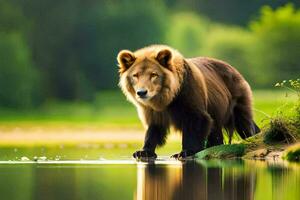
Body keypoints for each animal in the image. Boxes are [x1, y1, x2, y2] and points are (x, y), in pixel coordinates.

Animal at [118, 45, 260, 159]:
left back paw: (251, 135)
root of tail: (233, 68)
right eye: (135, 75)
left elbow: (196, 121)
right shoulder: (152, 110)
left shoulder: (188, 96)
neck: (166, 98)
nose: (142, 92)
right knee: (216, 130)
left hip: (235, 98)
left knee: (243, 122)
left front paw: (185, 151)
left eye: (153, 74)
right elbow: (154, 128)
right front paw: (143, 151)